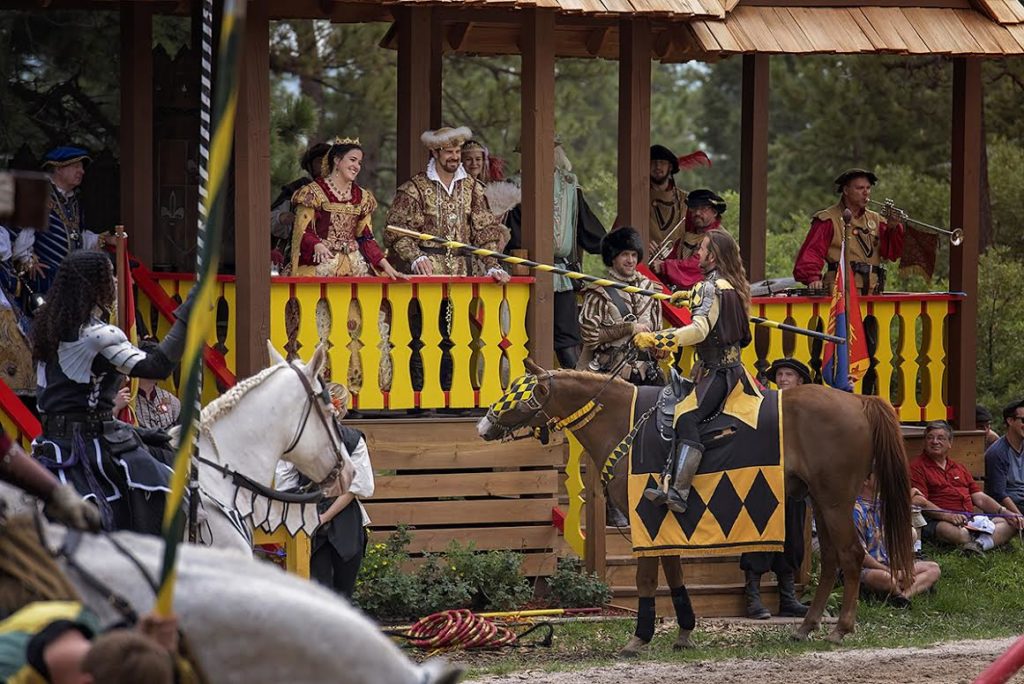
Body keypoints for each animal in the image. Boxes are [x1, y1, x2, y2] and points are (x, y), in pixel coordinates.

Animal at [475, 360, 917, 655]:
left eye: (516, 392)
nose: (483, 424)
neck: (624, 422)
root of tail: (860, 402)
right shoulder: (661, 523)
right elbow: (673, 574)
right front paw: (684, 631)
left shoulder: (645, 520)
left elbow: (648, 580)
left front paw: (639, 637)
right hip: (819, 502)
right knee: (832, 562)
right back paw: (806, 626)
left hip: (835, 499)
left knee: (851, 555)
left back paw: (840, 628)